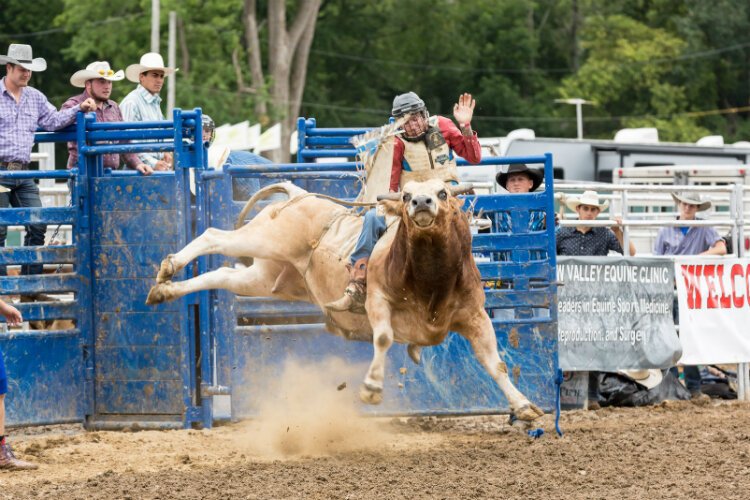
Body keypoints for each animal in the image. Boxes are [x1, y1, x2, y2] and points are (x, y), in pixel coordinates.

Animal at [147, 180, 544, 422]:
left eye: (443, 192)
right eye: (405, 195)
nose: (421, 202)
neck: (432, 279)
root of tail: (298, 192)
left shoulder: (475, 316)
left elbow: (495, 364)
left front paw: (524, 406)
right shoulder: (379, 302)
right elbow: (382, 338)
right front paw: (371, 388)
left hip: (267, 276)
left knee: (220, 275)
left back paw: (164, 288)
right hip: (264, 238)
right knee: (214, 235)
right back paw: (169, 266)